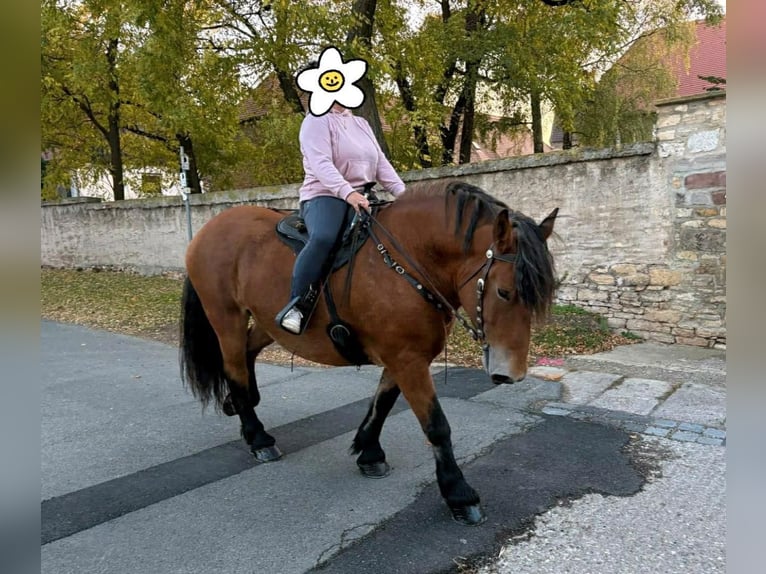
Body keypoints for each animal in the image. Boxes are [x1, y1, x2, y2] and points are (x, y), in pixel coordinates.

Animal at [180, 181, 560, 528]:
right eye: (504, 292)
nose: (512, 374)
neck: (409, 262)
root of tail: (209, 229)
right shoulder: (407, 359)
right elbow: (436, 426)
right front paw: (459, 494)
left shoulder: (403, 356)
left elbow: (382, 403)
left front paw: (369, 452)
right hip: (226, 316)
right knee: (233, 365)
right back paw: (257, 435)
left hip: (264, 320)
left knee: (247, 353)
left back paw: (239, 407)